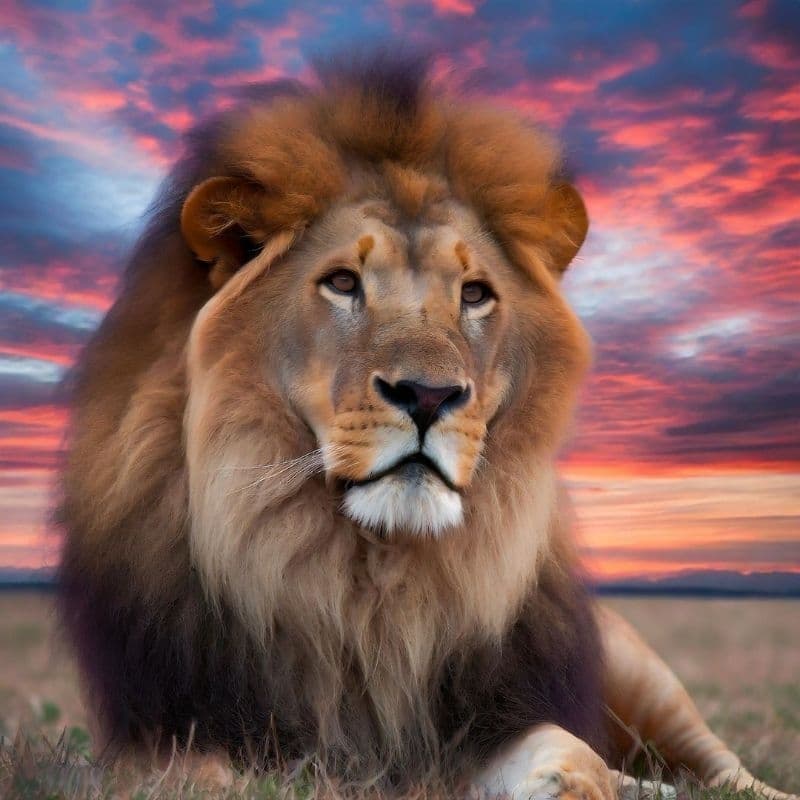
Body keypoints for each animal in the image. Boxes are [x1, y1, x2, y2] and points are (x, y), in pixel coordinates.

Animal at [57, 55, 797, 799]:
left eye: (474, 294)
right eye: (342, 283)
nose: (429, 395)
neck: (372, 577)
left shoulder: (488, 710)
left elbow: (575, 753)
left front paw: (572, 780)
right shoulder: (157, 730)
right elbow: (210, 778)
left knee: (720, 770)